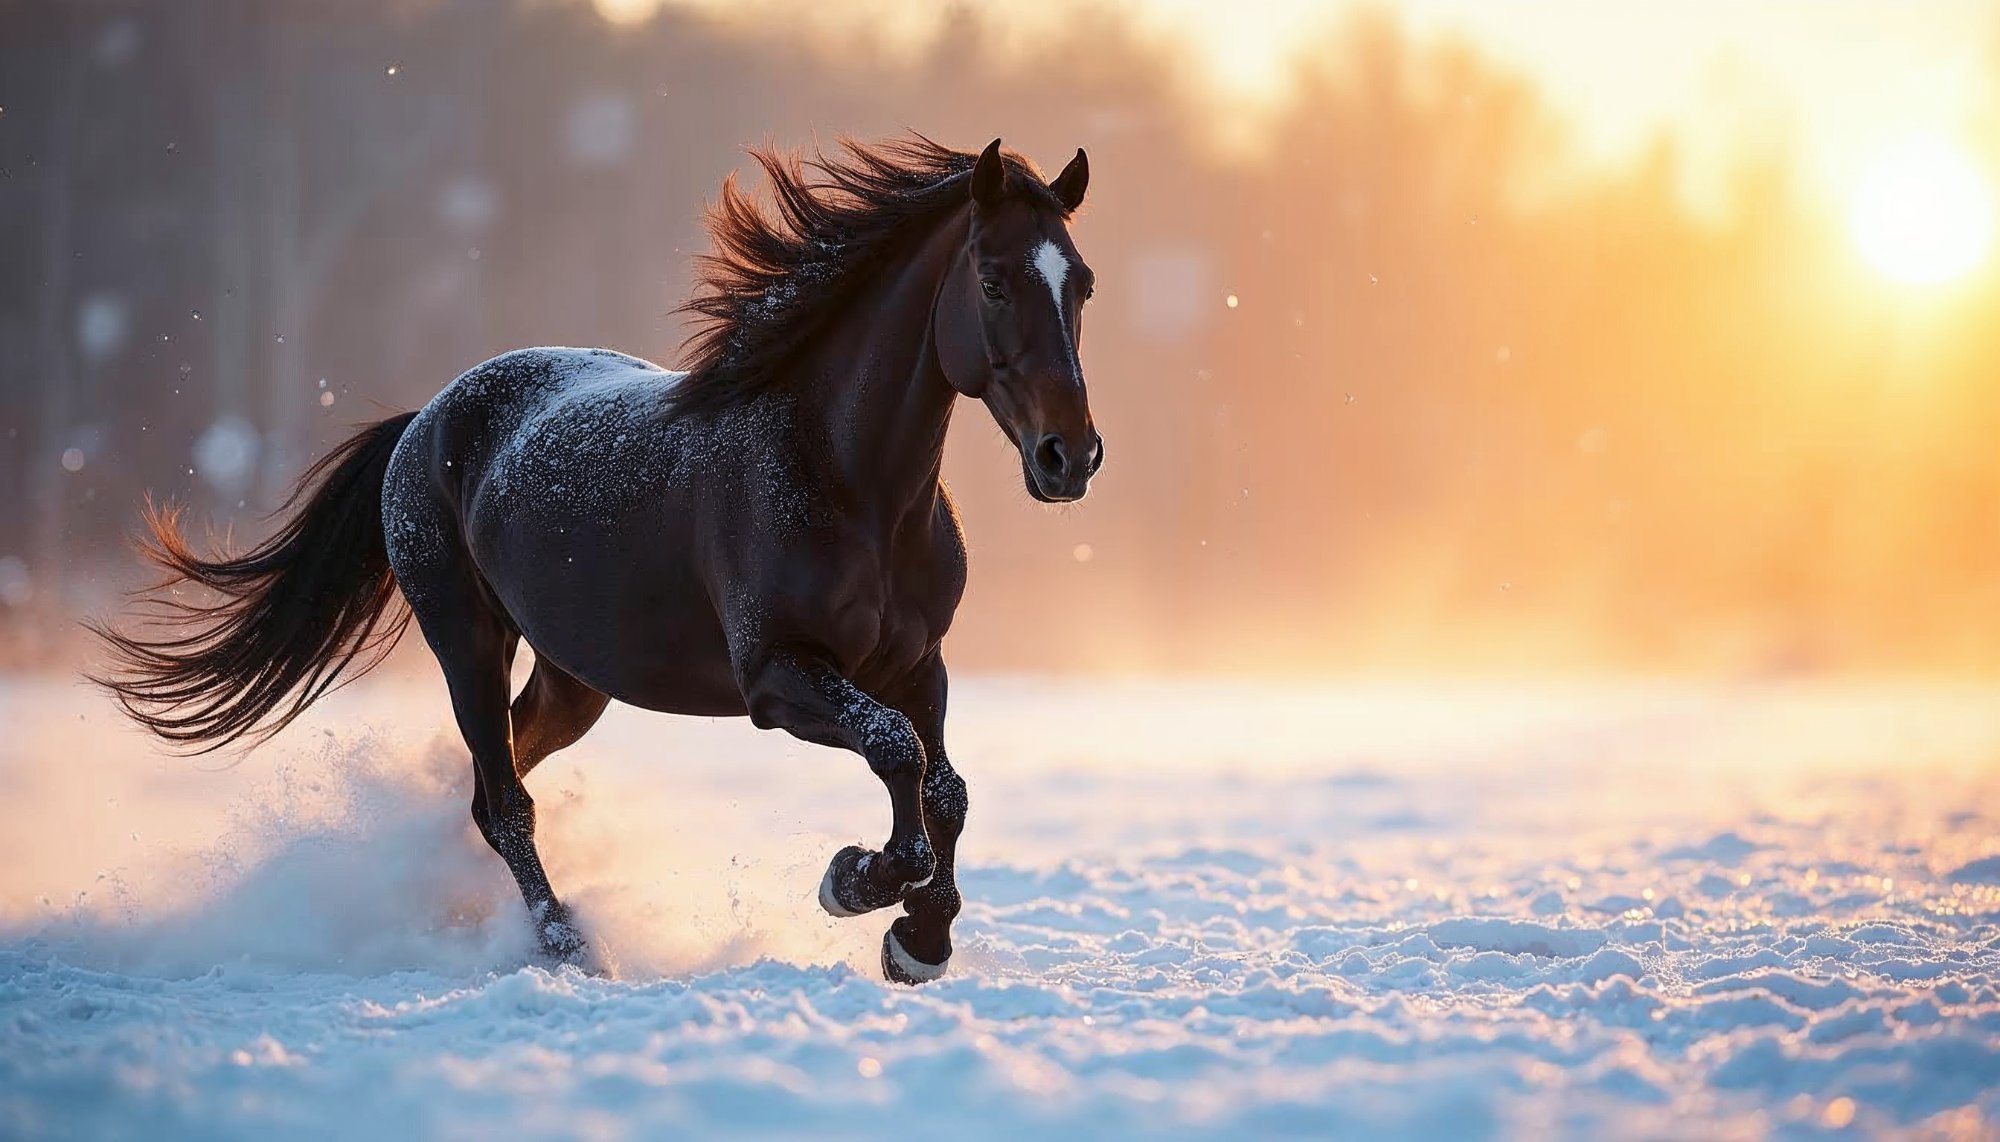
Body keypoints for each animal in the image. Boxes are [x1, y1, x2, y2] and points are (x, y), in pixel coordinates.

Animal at [89, 136, 1101, 984]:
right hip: (466, 640)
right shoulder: (777, 677)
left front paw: (918, 938)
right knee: (506, 801)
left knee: (486, 788)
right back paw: (566, 942)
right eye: (995, 281)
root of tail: (426, 419)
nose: (1070, 456)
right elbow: (896, 754)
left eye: (1082, 284)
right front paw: (858, 882)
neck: (847, 481)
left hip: (575, 678)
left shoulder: (917, 662)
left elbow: (946, 786)